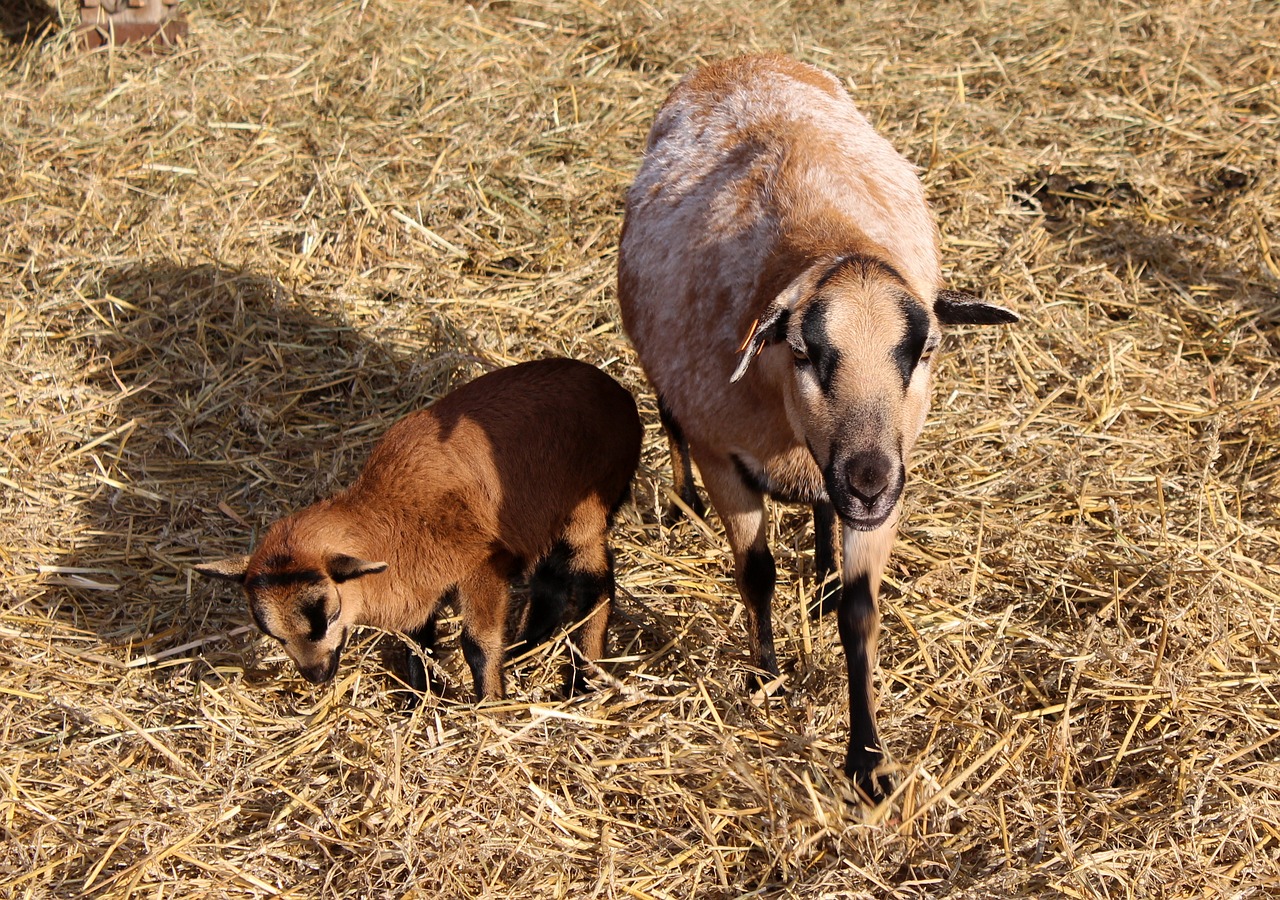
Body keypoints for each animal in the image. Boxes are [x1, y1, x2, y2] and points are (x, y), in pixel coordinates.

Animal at [195, 358, 645, 706]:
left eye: (329, 616)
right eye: (271, 633)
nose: (318, 675)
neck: (392, 514)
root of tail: (619, 395)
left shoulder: (483, 565)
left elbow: (478, 643)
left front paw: (490, 703)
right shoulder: (418, 586)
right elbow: (418, 644)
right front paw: (419, 701)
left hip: (583, 513)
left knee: (595, 585)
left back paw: (584, 677)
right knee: (550, 584)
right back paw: (524, 651)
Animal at [619, 54, 1018, 803]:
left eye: (925, 351)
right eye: (804, 352)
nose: (867, 480)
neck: (827, 239)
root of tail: (740, 58)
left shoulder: (889, 483)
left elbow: (861, 613)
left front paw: (868, 761)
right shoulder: (726, 455)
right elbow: (756, 574)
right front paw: (767, 678)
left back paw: (827, 564)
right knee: (667, 414)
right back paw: (683, 503)